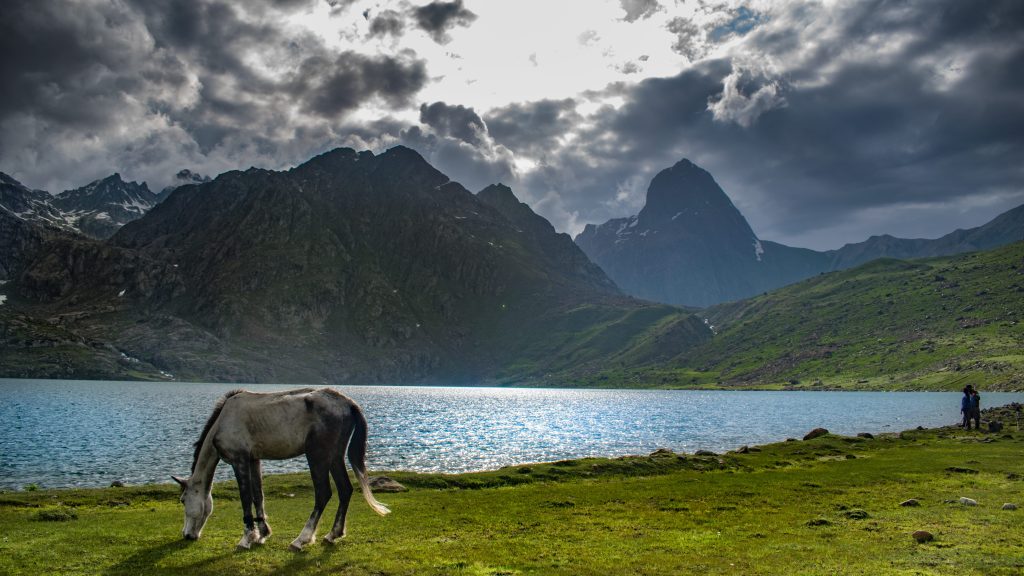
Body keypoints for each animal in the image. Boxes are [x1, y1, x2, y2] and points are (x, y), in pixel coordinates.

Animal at [172, 385, 387, 545]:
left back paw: (302, 539)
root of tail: (348, 403)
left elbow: (245, 497)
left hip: (317, 455)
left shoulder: (239, 460)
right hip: (335, 456)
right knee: (345, 489)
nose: (187, 535)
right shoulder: (253, 460)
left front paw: (247, 537)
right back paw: (333, 534)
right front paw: (262, 533)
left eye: (183, 500)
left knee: (323, 493)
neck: (224, 421)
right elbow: (258, 496)